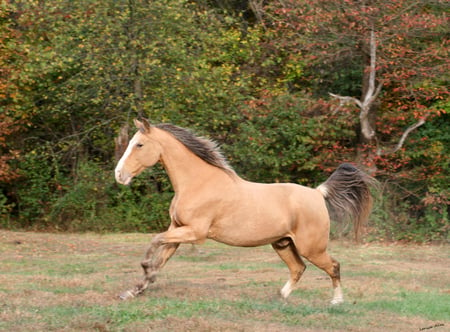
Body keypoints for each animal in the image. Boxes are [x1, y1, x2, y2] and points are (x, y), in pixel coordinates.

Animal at [114, 119, 374, 304]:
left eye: (139, 144)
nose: (119, 175)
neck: (198, 182)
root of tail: (318, 193)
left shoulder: (195, 233)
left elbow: (154, 242)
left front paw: (145, 271)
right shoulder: (177, 229)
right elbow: (161, 256)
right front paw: (134, 290)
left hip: (312, 248)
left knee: (333, 266)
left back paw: (336, 302)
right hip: (283, 244)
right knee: (298, 268)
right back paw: (279, 297)